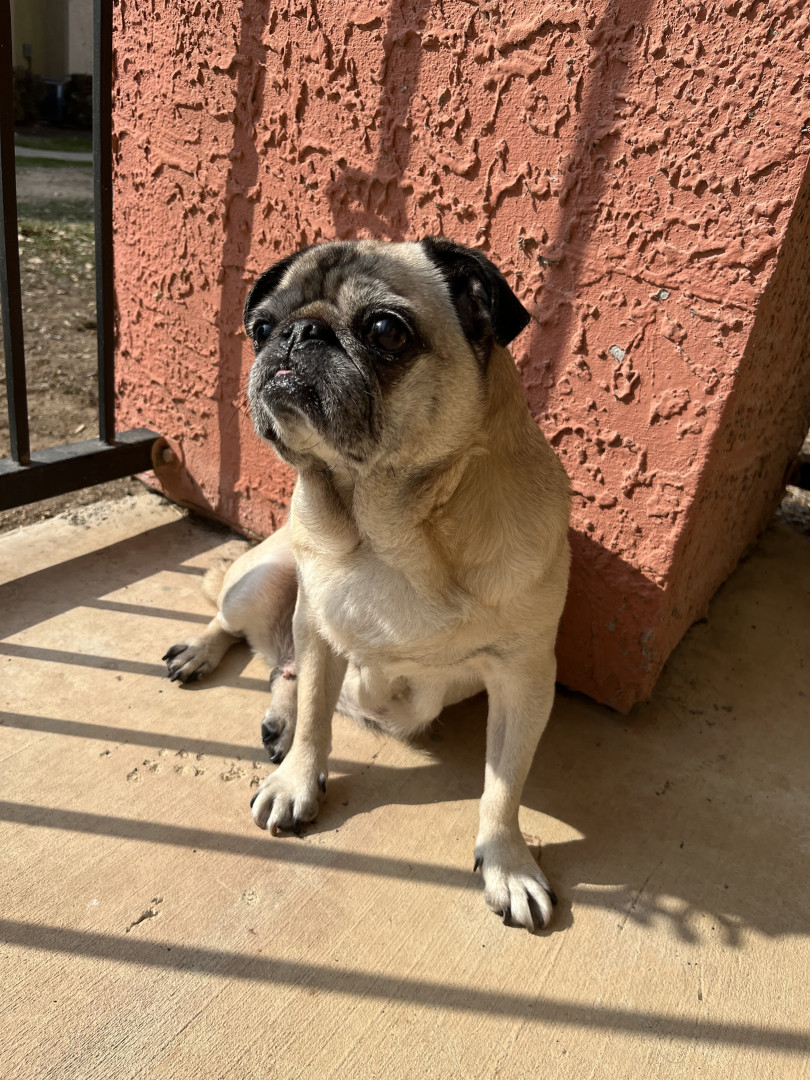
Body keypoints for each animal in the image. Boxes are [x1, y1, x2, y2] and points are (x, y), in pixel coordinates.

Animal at [163, 238, 571, 931]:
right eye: (261, 328)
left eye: (385, 330)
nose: (297, 333)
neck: (387, 529)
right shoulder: (318, 629)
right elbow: (316, 721)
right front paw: (298, 781)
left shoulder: (524, 679)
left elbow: (503, 787)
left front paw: (507, 862)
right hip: (262, 581)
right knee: (239, 628)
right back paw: (205, 656)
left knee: (283, 672)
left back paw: (276, 719)